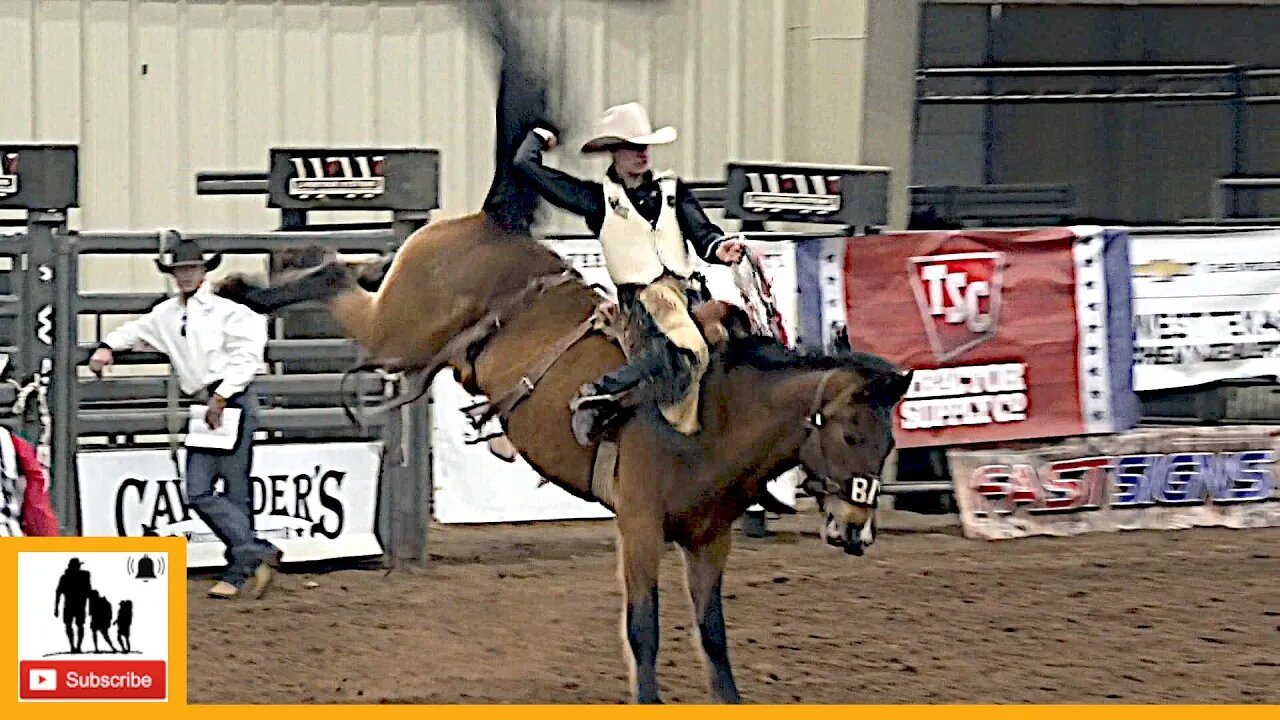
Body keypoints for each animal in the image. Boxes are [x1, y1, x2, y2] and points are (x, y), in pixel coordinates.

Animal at [217, 0, 911, 702]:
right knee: (338, 277)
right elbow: (644, 630)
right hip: (398, 333)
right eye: (852, 434)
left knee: (355, 271)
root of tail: (495, 219)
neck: (719, 416)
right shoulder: (638, 525)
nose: (857, 530)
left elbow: (714, 639)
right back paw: (241, 287)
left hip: (411, 341)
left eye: (888, 443)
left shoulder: (709, 541)